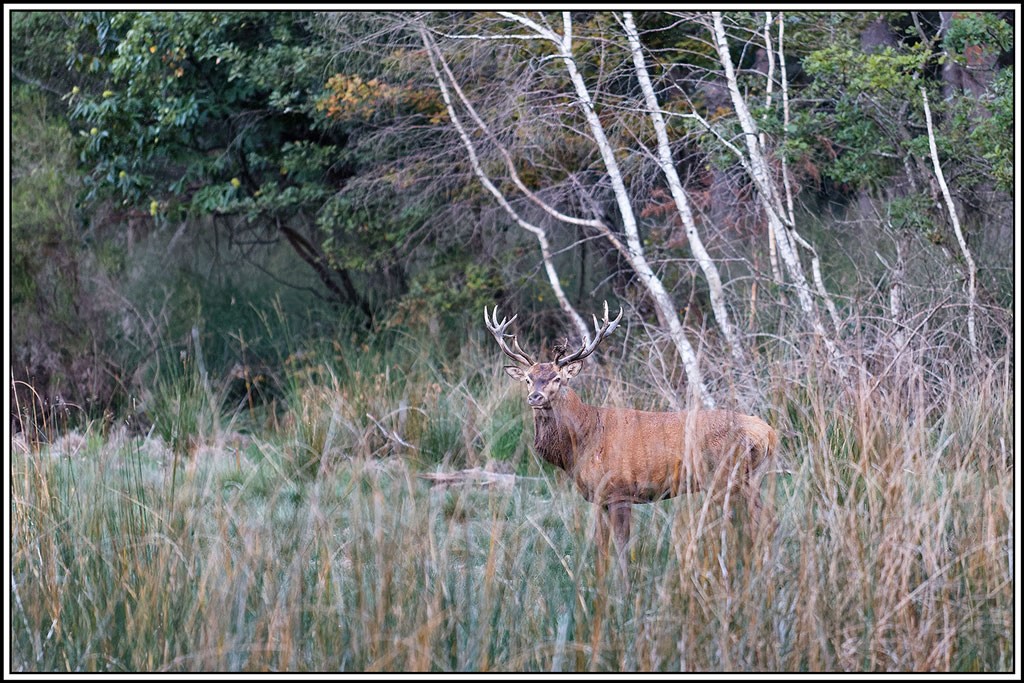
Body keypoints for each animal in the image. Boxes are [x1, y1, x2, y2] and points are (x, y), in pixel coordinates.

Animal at [485, 302, 777, 580]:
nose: (535, 397)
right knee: (764, 519)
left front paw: (623, 585)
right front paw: (600, 582)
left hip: (726, 477)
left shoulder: (619, 490)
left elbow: (621, 544)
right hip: (750, 479)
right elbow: (601, 545)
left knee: (751, 521)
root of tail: (770, 435)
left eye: (557, 378)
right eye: (528, 378)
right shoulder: (599, 497)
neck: (583, 441)